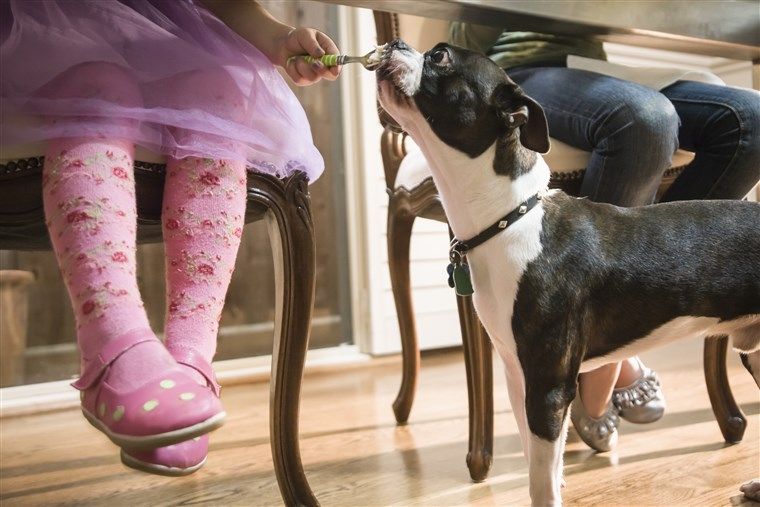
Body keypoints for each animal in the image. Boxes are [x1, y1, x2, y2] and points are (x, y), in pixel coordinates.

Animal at [376, 37, 760, 506]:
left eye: (440, 56)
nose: (395, 42)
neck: (511, 219)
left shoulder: (548, 386)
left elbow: (541, 480)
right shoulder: (518, 376)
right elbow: (538, 461)